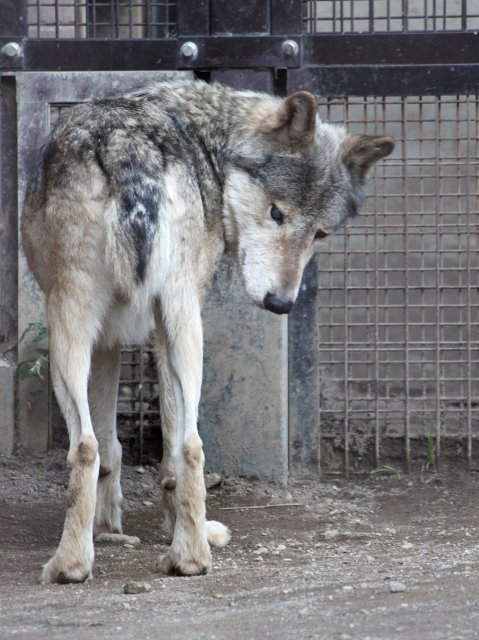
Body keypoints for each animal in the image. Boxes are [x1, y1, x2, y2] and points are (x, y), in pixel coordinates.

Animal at [20, 77, 394, 584]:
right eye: (277, 214)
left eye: (320, 234)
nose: (281, 304)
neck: (213, 148)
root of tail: (127, 148)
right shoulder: (117, 338)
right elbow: (124, 450)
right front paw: (112, 526)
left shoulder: (120, 337)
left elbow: (117, 446)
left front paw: (110, 526)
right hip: (165, 326)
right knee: (181, 446)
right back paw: (183, 557)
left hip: (84, 324)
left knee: (104, 446)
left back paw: (79, 565)